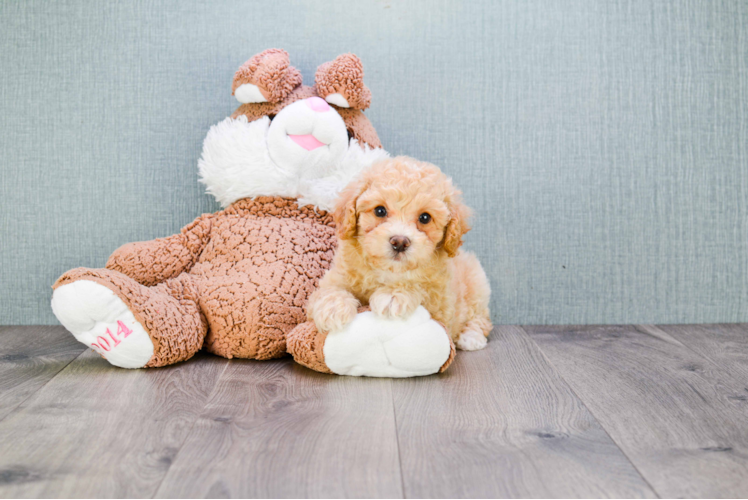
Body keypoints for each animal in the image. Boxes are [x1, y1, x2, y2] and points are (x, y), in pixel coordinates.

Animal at [306, 156, 494, 352]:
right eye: (380, 210)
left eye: (425, 218)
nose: (400, 242)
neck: (389, 271)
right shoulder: (337, 276)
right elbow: (328, 290)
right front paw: (333, 308)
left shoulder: (441, 304)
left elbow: (420, 288)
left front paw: (392, 295)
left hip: (478, 285)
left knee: (481, 318)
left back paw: (471, 337)